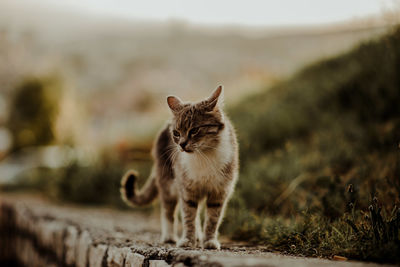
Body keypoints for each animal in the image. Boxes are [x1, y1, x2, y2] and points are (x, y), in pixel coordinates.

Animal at [120, 86, 239, 251]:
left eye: (194, 130)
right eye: (176, 133)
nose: (182, 144)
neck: (204, 155)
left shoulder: (219, 192)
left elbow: (213, 219)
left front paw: (209, 241)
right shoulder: (187, 189)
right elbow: (188, 217)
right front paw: (188, 240)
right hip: (168, 184)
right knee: (168, 211)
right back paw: (170, 237)